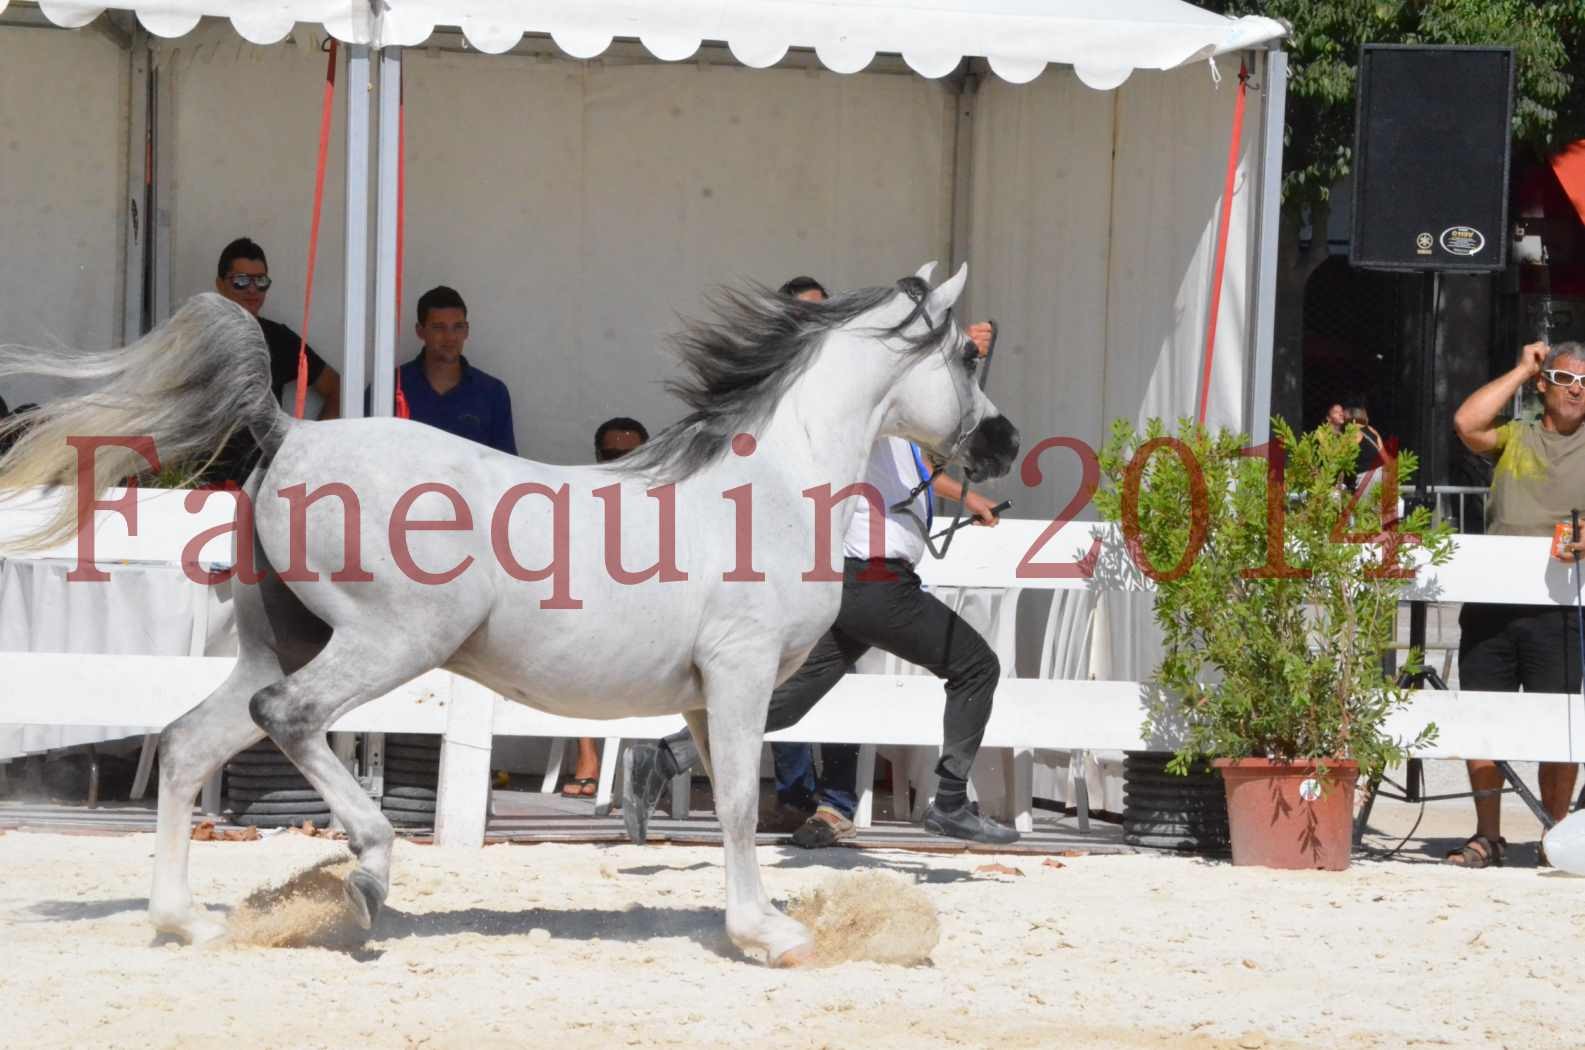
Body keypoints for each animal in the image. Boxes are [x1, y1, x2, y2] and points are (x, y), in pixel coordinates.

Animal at [0, 261, 1014, 964]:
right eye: (969, 353)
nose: (1000, 443)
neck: (766, 487)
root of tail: (290, 432)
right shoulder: (741, 673)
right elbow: (731, 802)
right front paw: (769, 937)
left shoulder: (708, 693)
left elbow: (716, 793)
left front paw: (761, 920)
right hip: (391, 640)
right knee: (286, 717)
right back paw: (367, 872)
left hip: (281, 640)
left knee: (186, 744)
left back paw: (190, 923)